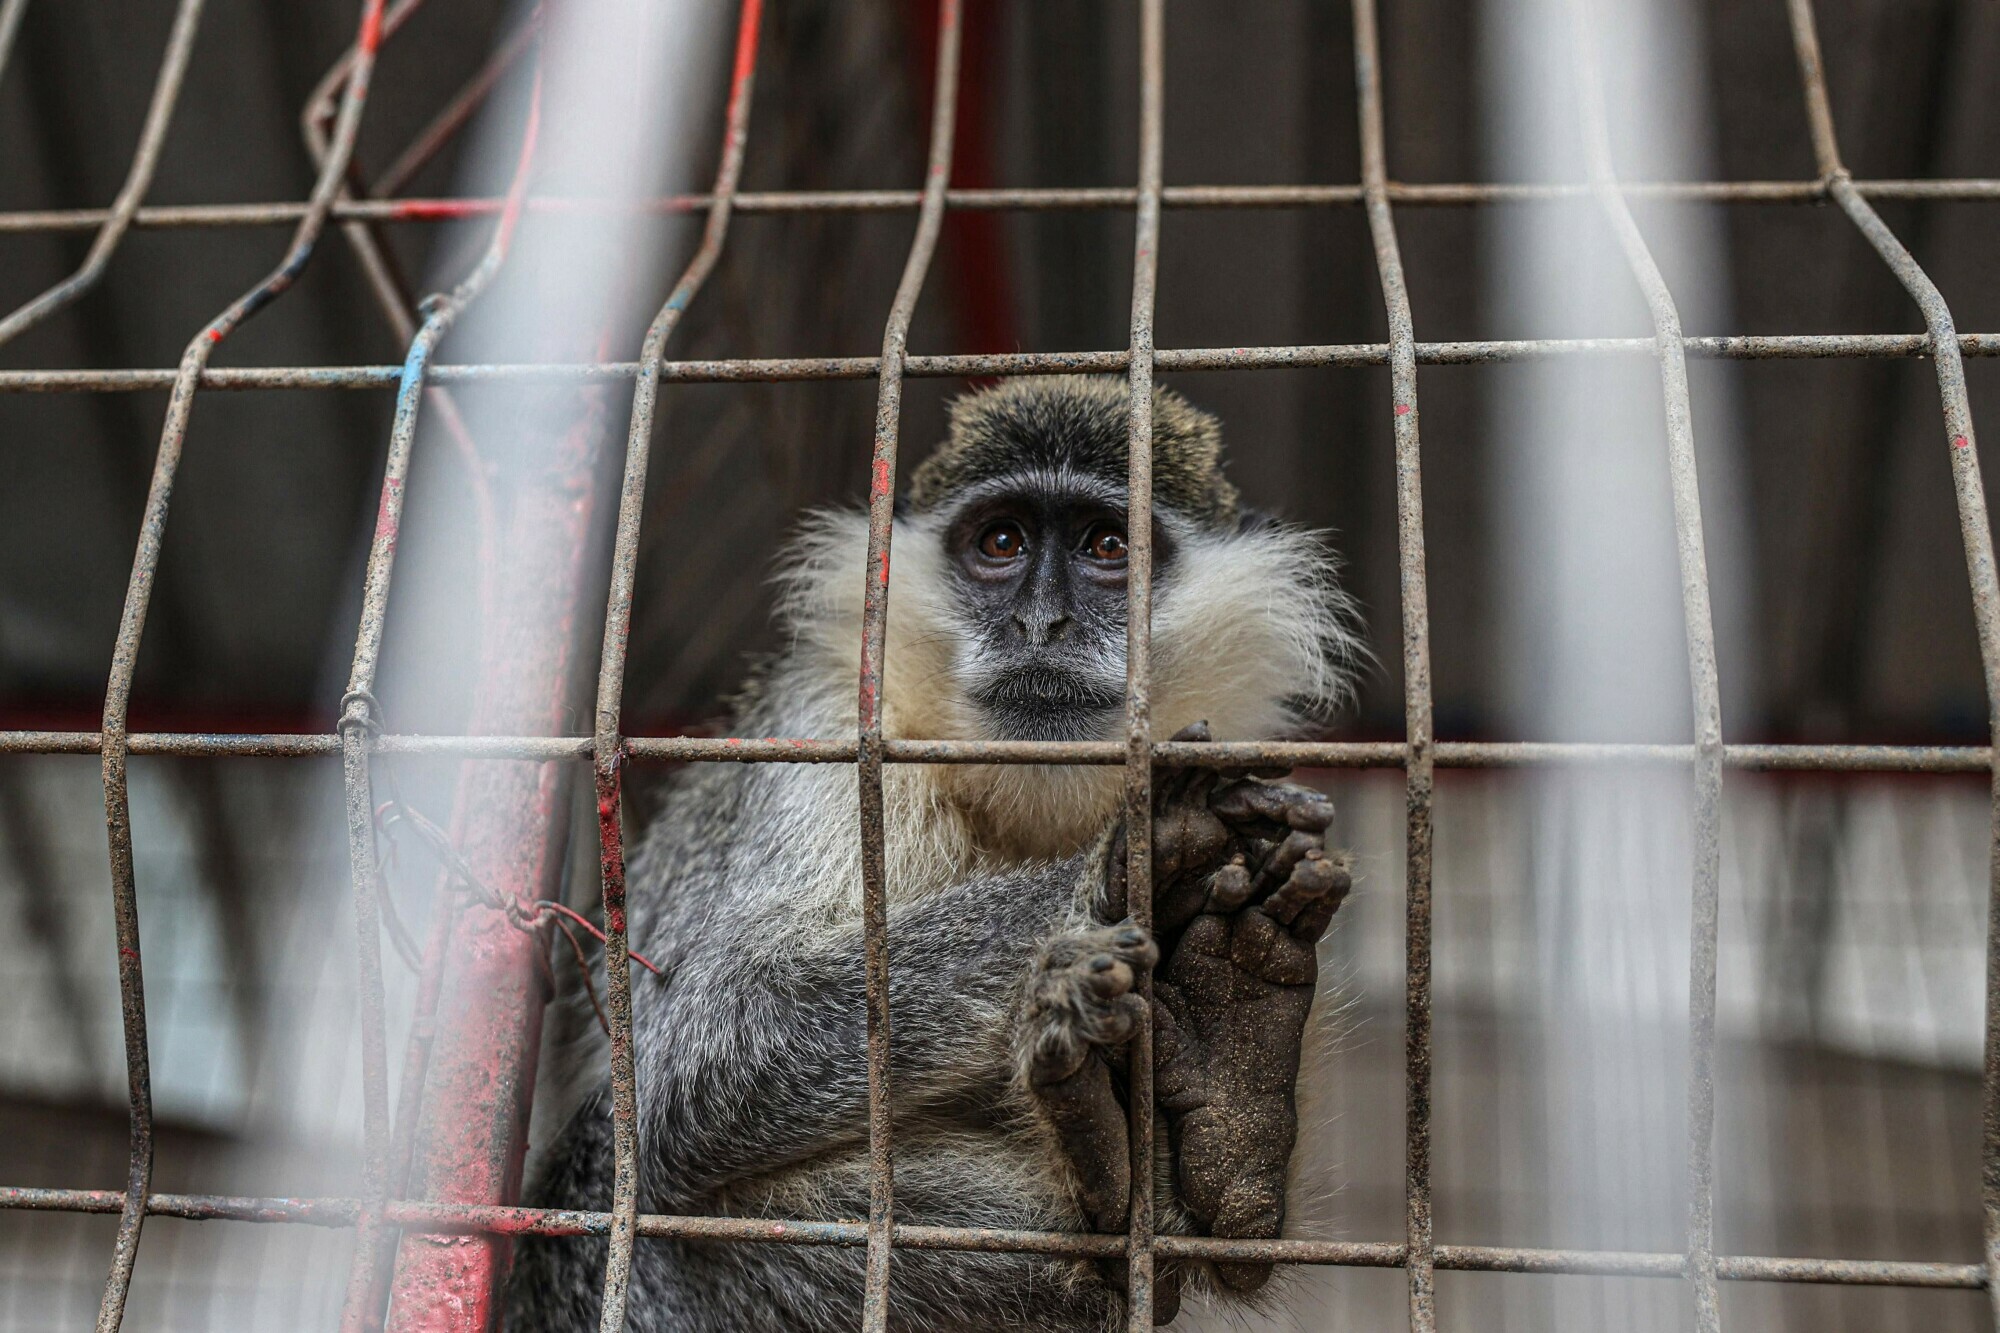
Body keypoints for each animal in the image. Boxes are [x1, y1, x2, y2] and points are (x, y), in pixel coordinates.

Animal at [502, 376, 1361, 1331]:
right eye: (1001, 542)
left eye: (1108, 545)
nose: (1042, 622)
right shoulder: (834, 734)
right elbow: (711, 1039)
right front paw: (1133, 861)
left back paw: (1232, 1106)